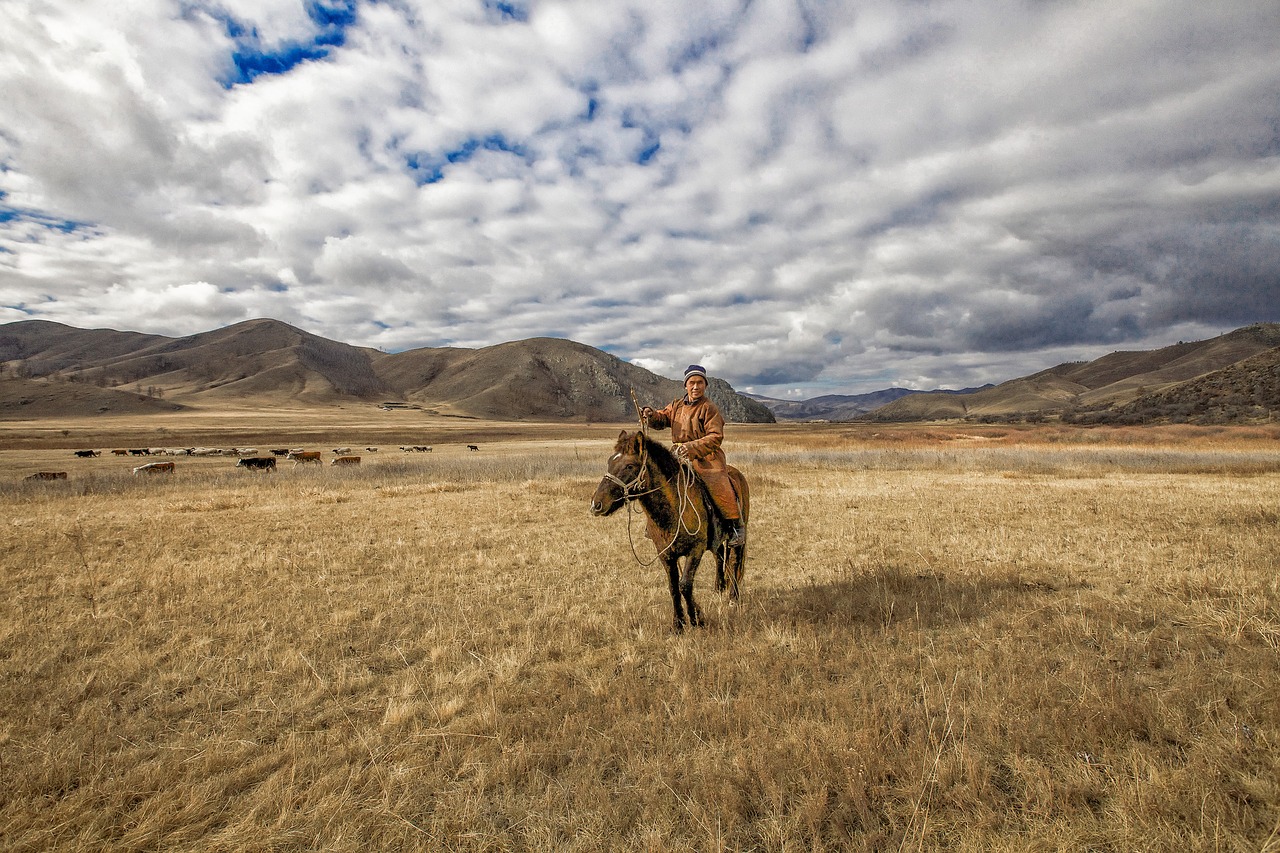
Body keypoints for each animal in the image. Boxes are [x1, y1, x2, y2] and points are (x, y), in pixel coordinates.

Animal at [591, 427, 747, 627]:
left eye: (629, 466)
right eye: (610, 461)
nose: (597, 504)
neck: (673, 510)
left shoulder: (695, 550)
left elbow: (685, 585)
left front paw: (696, 618)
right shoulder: (665, 554)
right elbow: (673, 586)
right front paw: (678, 623)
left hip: (739, 533)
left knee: (734, 561)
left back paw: (733, 598)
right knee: (719, 556)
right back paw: (718, 588)